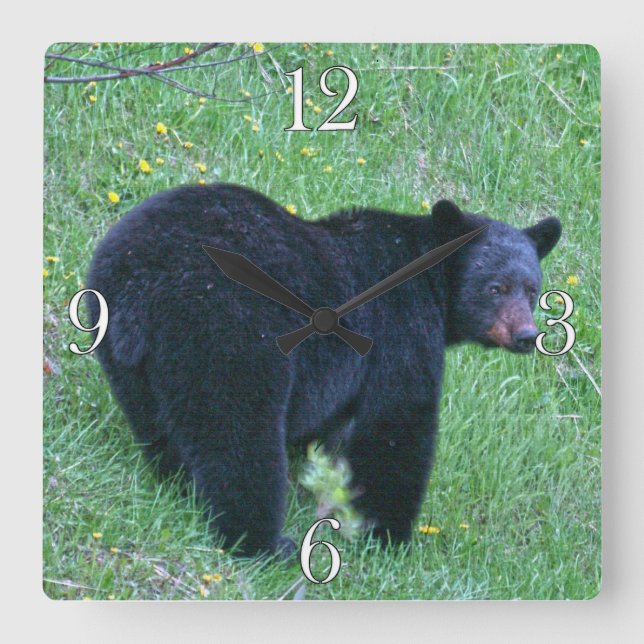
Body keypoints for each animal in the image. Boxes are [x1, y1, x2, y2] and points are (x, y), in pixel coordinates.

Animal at [87, 183, 561, 557]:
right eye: (496, 287)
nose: (525, 335)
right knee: (238, 434)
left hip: (122, 348)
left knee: (156, 421)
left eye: (531, 289)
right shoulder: (401, 328)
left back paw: (179, 485)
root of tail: (143, 285)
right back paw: (261, 543)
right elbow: (397, 424)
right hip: (230, 330)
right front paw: (389, 537)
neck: (428, 278)